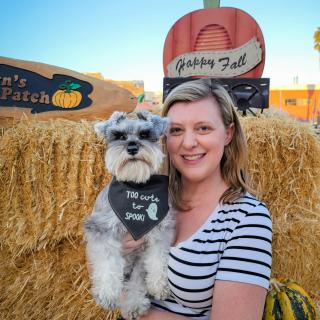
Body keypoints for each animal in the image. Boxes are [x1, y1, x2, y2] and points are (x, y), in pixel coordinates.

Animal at [84, 110, 175, 320]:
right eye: (119, 136)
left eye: (144, 134)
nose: (132, 147)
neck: (136, 186)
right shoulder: (102, 230)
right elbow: (108, 262)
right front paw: (107, 294)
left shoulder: (159, 231)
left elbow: (158, 258)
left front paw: (160, 285)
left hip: (138, 263)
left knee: (136, 281)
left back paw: (134, 304)